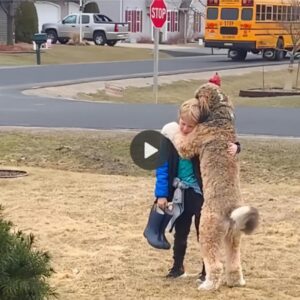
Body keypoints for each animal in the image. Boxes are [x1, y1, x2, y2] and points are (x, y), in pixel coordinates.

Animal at [176, 82, 258, 290]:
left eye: (197, 95)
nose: (192, 101)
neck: (219, 116)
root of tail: (231, 213)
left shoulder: (191, 142)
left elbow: (179, 138)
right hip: (233, 238)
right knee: (234, 263)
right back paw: (237, 281)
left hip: (207, 234)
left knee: (215, 264)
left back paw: (208, 285)